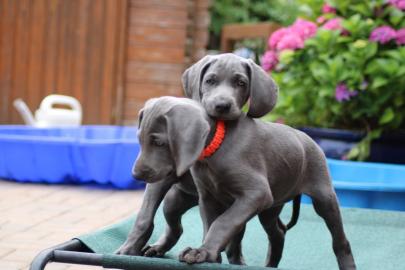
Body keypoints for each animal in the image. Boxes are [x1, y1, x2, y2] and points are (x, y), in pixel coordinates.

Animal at [133, 95, 354, 270]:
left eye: (159, 142)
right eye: (140, 139)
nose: (136, 175)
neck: (216, 147)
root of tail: (308, 138)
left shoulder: (256, 194)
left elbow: (223, 222)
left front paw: (203, 252)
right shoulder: (209, 198)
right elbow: (211, 224)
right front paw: (210, 255)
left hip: (324, 198)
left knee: (340, 240)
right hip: (270, 207)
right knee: (278, 233)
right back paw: (269, 265)